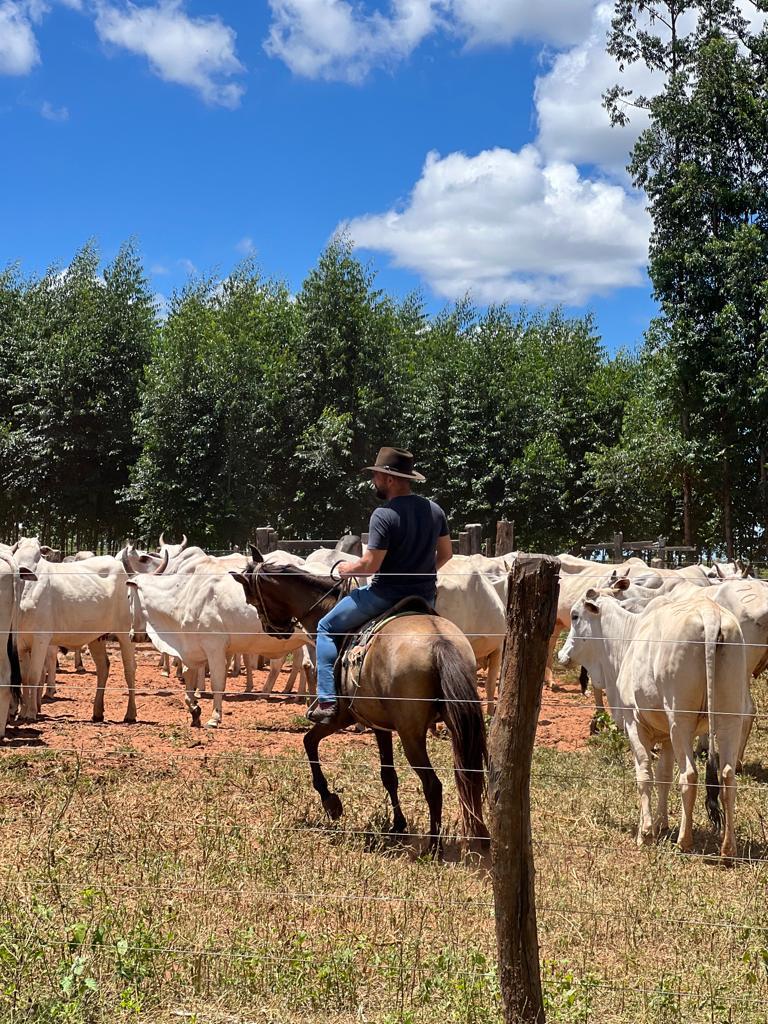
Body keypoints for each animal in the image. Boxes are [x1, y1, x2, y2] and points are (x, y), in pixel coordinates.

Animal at [230, 551, 489, 852]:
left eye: (252, 600)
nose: (275, 631)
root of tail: (439, 641)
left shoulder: (342, 717)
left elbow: (309, 742)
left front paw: (330, 802)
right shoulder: (379, 725)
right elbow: (388, 775)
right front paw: (398, 825)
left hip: (411, 734)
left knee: (433, 785)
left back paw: (434, 846)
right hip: (457, 722)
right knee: (470, 775)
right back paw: (481, 838)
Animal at [558, 587, 749, 859]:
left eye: (575, 616)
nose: (562, 655)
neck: (626, 639)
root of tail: (710, 614)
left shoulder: (634, 723)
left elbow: (645, 775)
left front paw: (646, 832)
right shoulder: (666, 735)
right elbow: (664, 776)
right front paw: (661, 825)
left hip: (681, 721)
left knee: (690, 775)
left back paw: (684, 841)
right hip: (728, 718)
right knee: (728, 776)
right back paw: (728, 848)